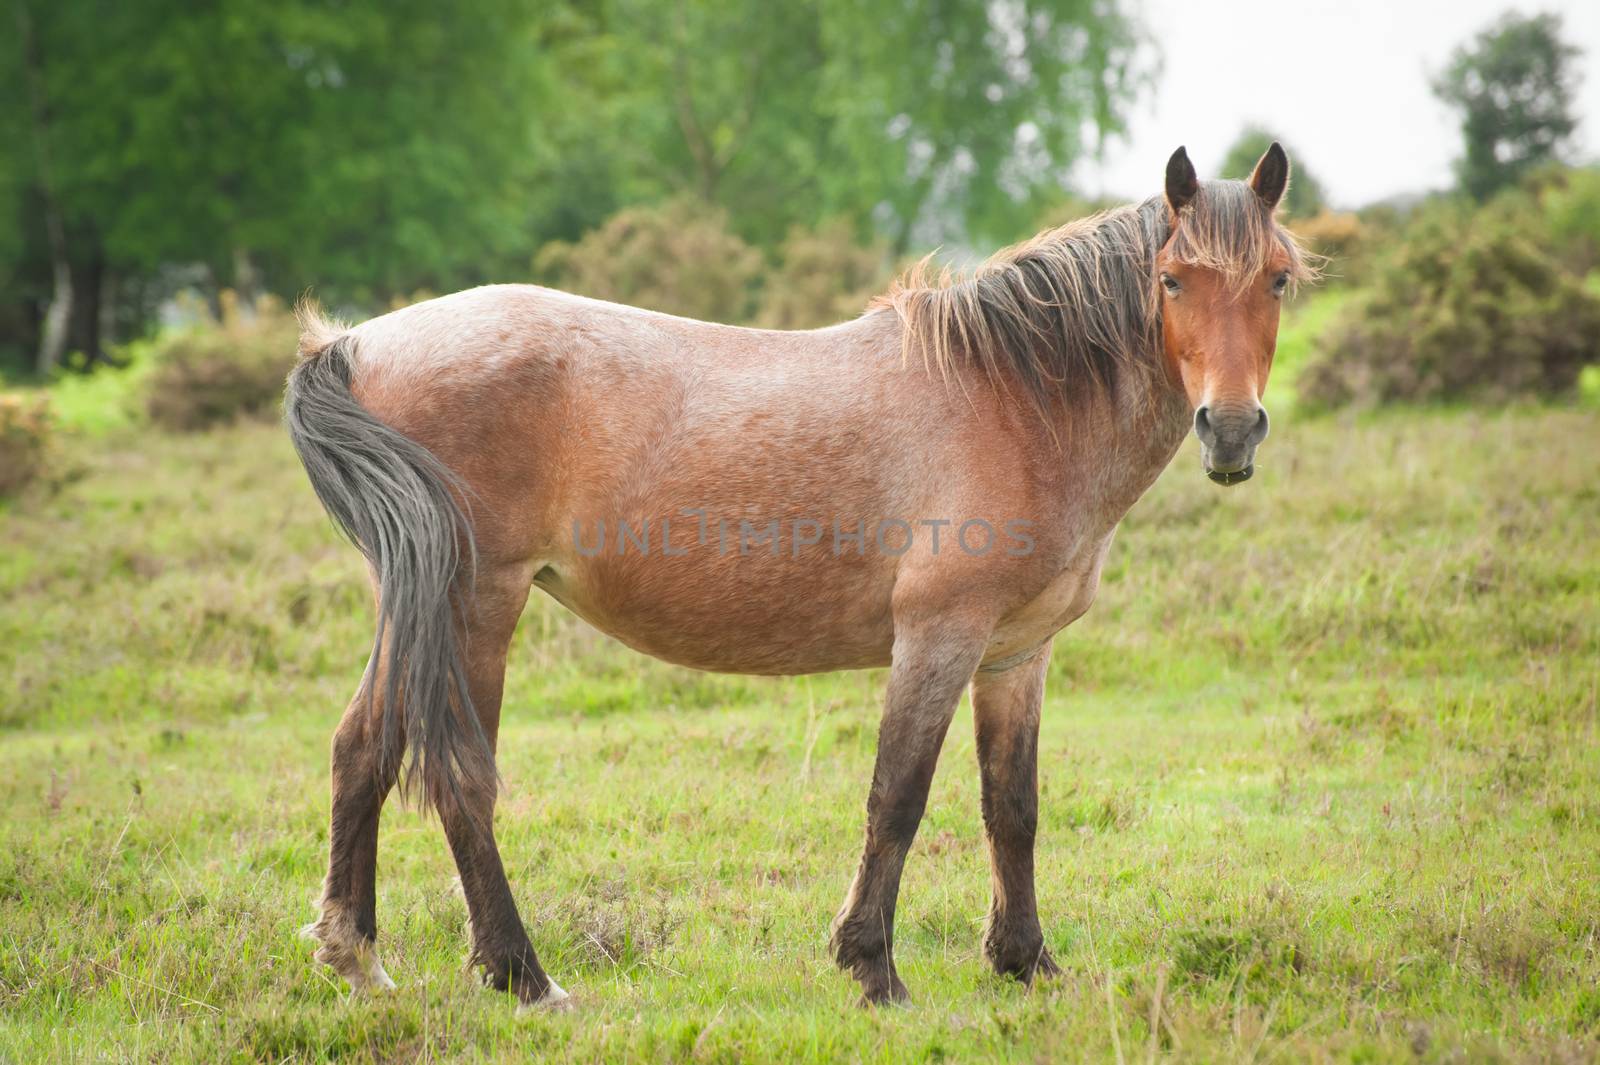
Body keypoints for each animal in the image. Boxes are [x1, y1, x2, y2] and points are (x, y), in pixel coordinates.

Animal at [288, 143, 1312, 1004]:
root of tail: (357, 345)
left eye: (1278, 278)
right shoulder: (938, 637)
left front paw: (1026, 963)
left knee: (359, 748)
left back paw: (356, 956)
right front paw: (873, 968)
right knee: (461, 779)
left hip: (418, 607)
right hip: (478, 603)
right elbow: (897, 796)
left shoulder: (1016, 655)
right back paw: (522, 975)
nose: (1230, 430)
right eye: (1172, 279)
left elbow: (1011, 805)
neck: (1014, 400)